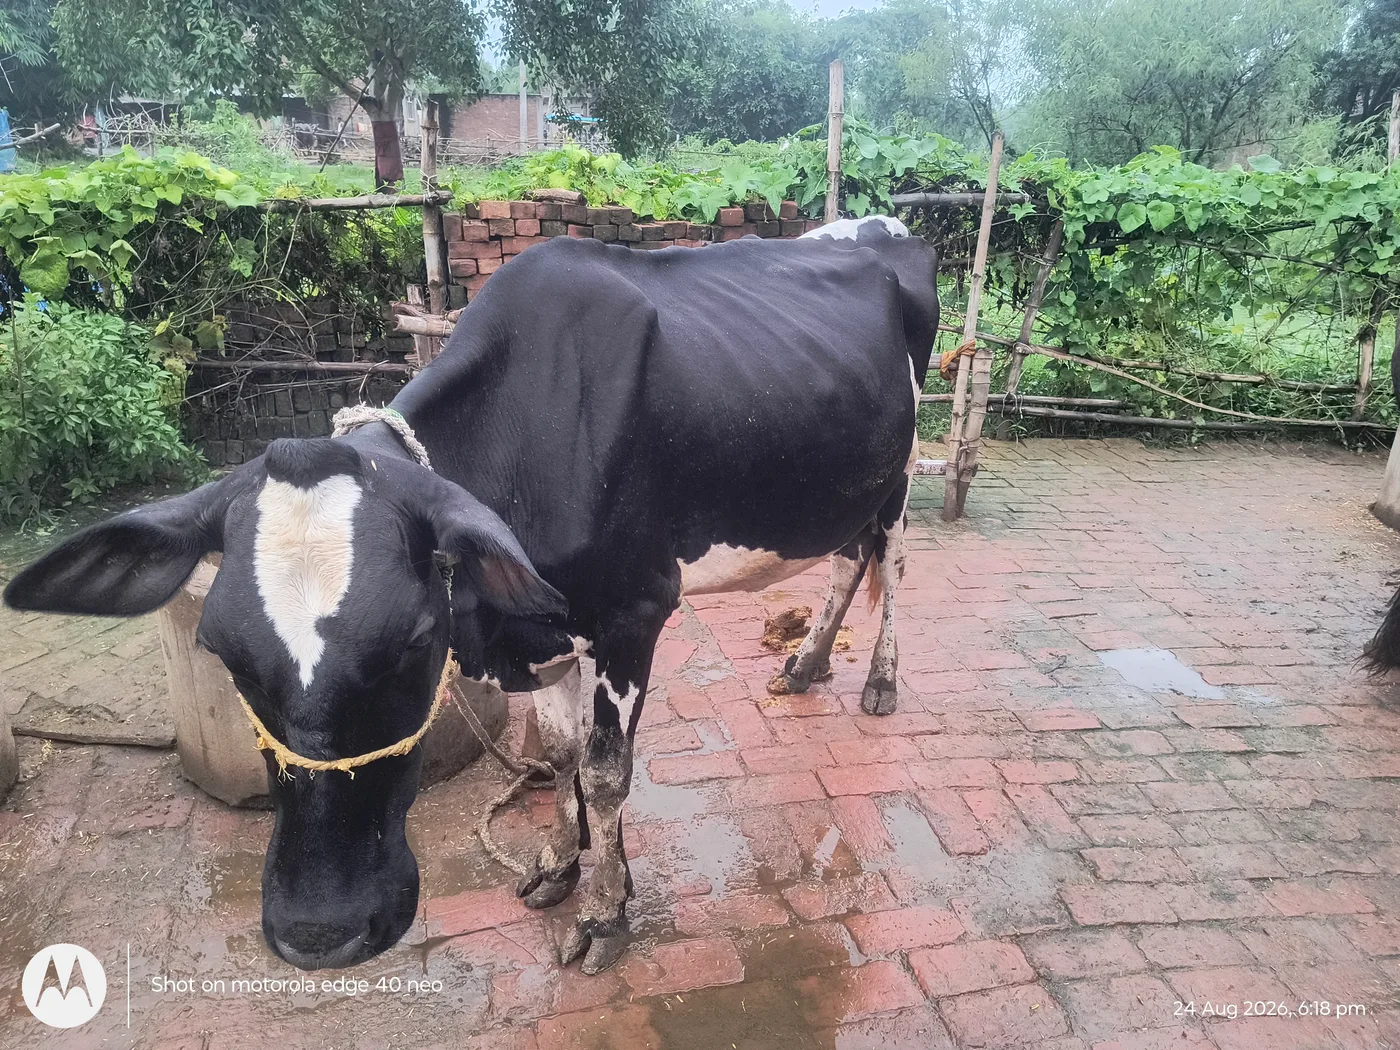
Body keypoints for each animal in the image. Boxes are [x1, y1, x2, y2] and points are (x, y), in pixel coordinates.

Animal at [3, 216, 938, 975]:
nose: (319, 932)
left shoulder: (635, 612)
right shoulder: (552, 629)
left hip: (895, 475)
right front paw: (562, 867)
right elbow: (560, 755)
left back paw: (879, 681)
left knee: (890, 563)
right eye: (222, 651)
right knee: (847, 559)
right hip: (839, 482)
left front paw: (605, 917)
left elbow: (606, 771)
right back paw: (806, 666)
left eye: (418, 639)